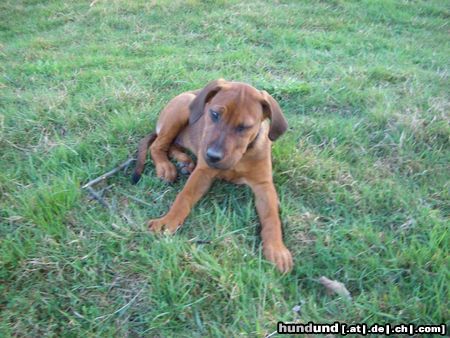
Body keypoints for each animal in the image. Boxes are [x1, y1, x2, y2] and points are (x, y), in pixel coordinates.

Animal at [132, 80, 294, 274]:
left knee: (171, 145)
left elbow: (271, 217)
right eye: (214, 114)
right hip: (182, 107)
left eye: (244, 127)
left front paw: (277, 250)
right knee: (157, 145)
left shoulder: (263, 184)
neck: (241, 156)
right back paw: (166, 167)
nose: (212, 156)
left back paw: (184, 161)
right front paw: (167, 222)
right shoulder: (203, 172)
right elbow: (183, 197)